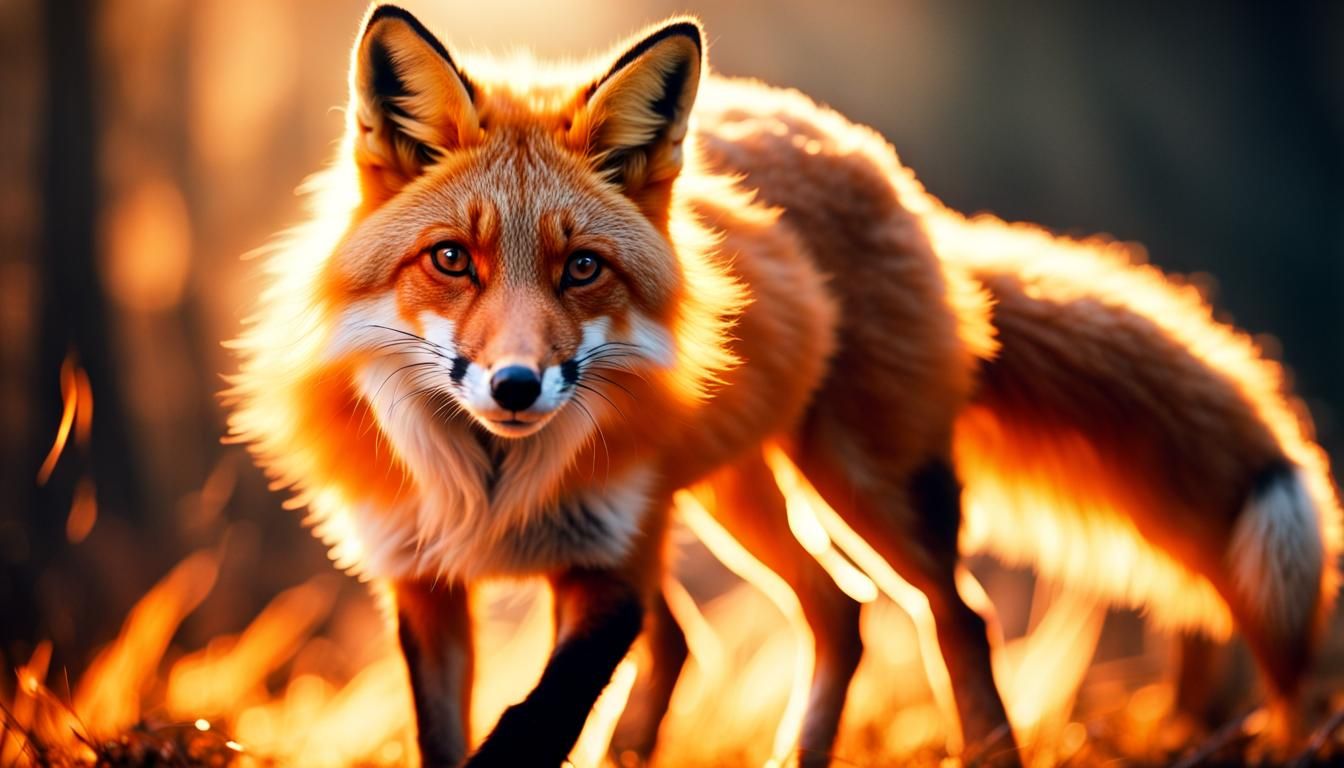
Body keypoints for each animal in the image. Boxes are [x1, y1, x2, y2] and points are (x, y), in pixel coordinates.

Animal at [227, 4, 1341, 767]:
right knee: (812, 617)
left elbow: (537, 719)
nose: (514, 386)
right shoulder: (426, 584)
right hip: (732, 499)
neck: (491, 483)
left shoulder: (607, 568)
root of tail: (884, 168)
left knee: (950, 613)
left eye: (581, 268)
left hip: (858, 482)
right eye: (452, 260)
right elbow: (458, 734)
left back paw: (987, 748)